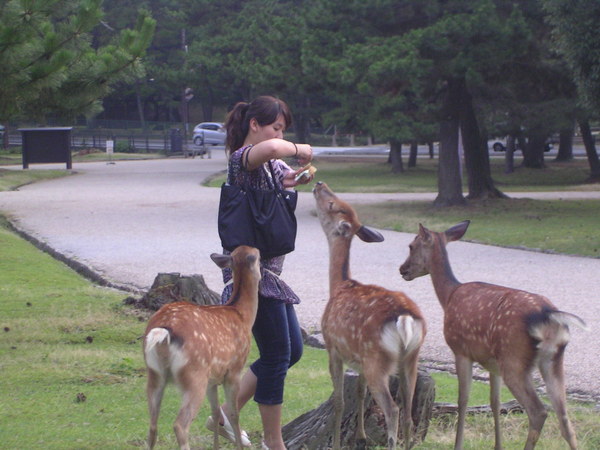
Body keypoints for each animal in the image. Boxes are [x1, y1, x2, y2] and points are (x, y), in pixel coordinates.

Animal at [144, 246, 262, 450]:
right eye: (259, 257)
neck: (243, 315)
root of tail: (164, 331)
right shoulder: (234, 370)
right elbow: (234, 414)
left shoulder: (212, 379)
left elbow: (215, 412)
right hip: (194, 374)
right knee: (180, 425)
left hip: (155, 373)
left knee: (152, 426)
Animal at [314, 182, 426, 450]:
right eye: (341, 204)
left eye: (333, 205)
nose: (320, 184)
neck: (339, 285)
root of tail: (405, 319)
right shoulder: (360, 358)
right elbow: (359, 391)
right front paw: (361, 437)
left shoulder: (332, 346)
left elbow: (339, 401)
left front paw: (336, 443)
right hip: (410, 358)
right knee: (408, 413)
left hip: (378, 358)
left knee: (393, 410)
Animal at [400, 221, 588, 450]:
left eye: (411, 246)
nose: (403, 269)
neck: (448, 296)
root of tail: (549, 316)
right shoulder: (492, 364)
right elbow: (495, 402)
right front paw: (498, 445)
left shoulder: (460, 350)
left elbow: (463, 399)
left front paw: (458, 444)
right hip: (552, 361)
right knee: (565, 419)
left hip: (514, 359)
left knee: (538, 412)